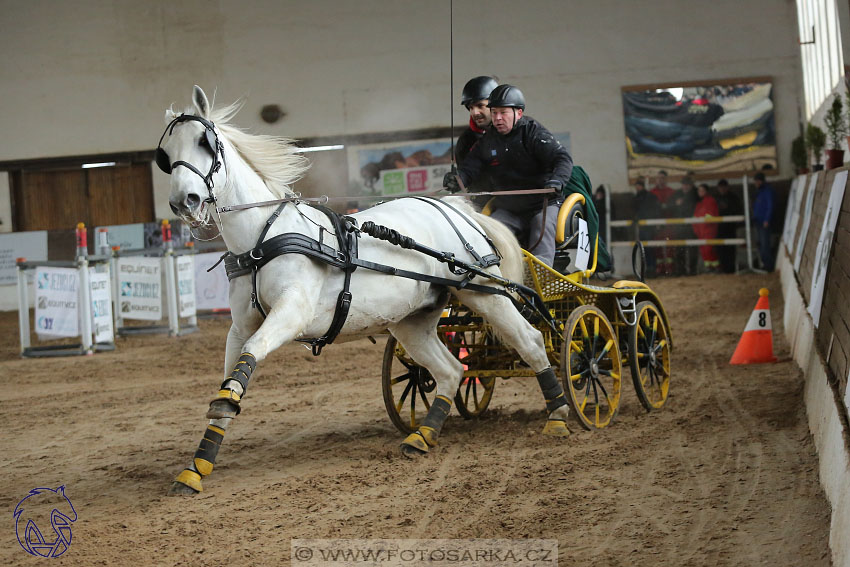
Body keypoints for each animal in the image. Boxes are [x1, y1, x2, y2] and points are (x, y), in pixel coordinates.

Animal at [161, 85, 568, 496]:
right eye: (165, 155)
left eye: (204, 142)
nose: (184, 202)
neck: (263, 236)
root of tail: (452, 206)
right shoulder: (240, 327)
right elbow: (231, 379)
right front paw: (197, 466)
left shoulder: (292, 313)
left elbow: (249, 357)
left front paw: (209, 440)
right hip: (411, 321)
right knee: (452, 370)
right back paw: (422, 436)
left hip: (485, 292)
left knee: (531, 341)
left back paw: (560, 415)